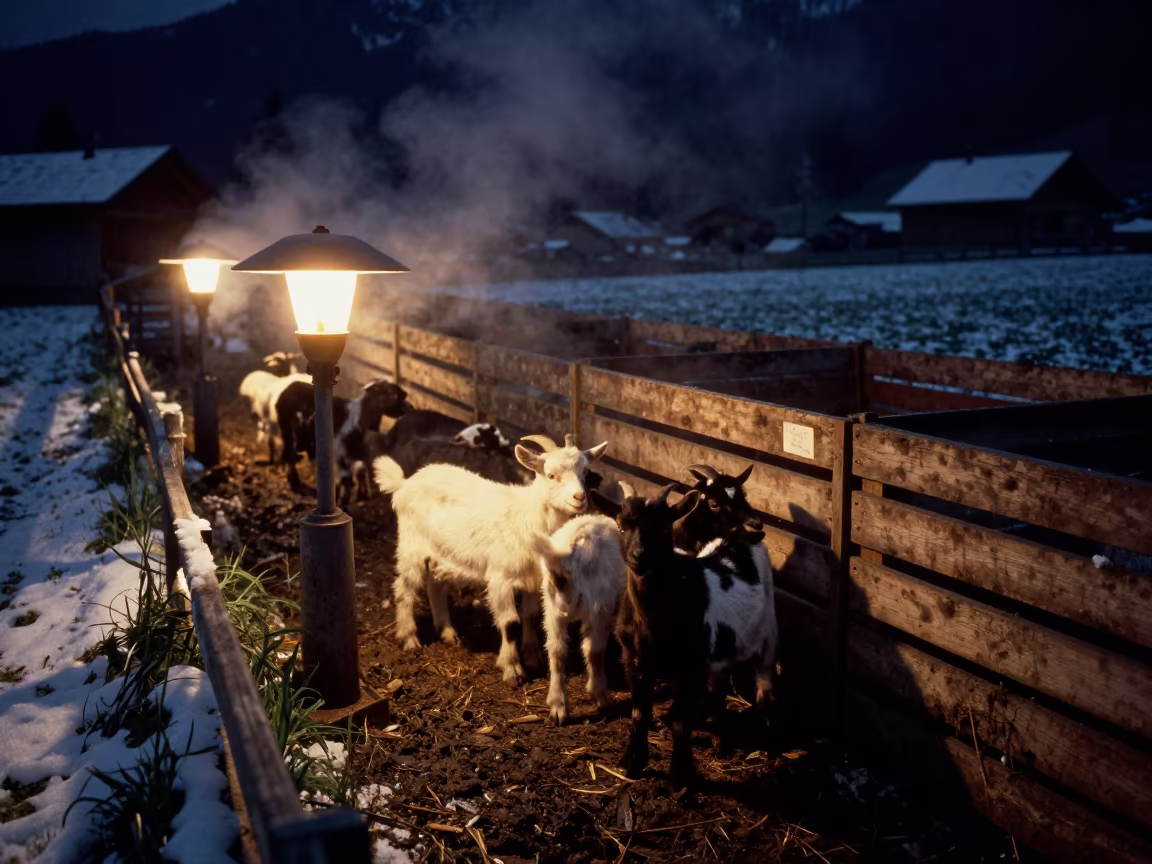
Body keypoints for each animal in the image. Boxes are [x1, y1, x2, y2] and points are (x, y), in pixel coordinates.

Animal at [374, 433, 608, 683]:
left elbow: (531, 616)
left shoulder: (533, 579)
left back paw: (447, 632)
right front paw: (512, 669)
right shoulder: (500, 578)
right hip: (411, 545)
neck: (528, 516)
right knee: (405, 587)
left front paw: (532, 657)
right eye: (551, 475)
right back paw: (408, 638)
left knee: (435, 585)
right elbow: (510, 623)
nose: (579, 498)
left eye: (585, 473)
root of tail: (405, 483)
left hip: (441, 552)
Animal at [614, 482, 777, 789]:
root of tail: (739, 537)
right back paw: (721, 739)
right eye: (620, 525)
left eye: (664, 527)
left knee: (764, 683)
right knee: (720, 685)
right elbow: (639, 713)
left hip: (766, 632)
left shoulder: (691, 666)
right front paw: (632, 763)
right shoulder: (635, 660)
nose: (638, 557)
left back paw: (766, 736)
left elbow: (679, 720)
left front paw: (680, 776)